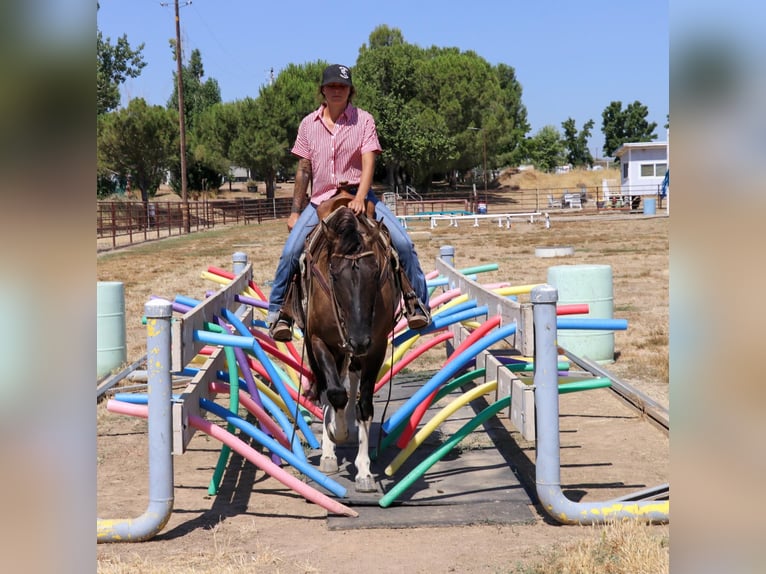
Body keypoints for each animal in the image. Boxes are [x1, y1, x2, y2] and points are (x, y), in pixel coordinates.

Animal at [298, 201, 399, 492]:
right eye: (333, 273)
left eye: (375, 272)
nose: (359, 340)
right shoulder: (318, 340)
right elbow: (333, 393)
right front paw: (335, 433)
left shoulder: (376, 346)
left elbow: (364, 403)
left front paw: (364, 470)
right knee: (329, 387)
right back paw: (330, 451)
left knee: (350, 379)